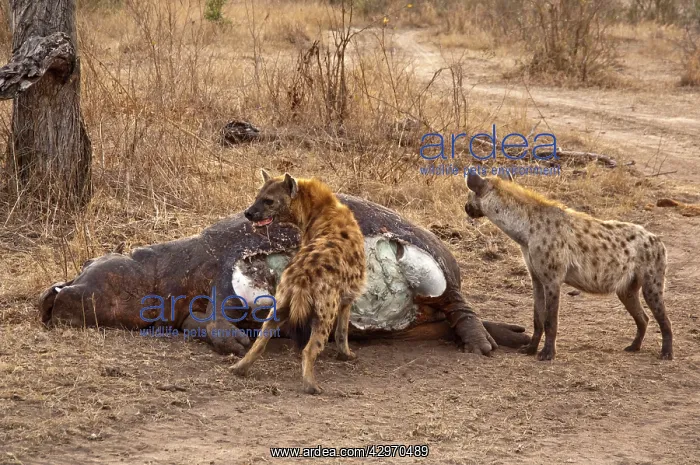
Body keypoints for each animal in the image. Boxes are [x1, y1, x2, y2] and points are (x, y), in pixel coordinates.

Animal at [39, 195, 530, 356]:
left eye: (87, 268)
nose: (52, 290)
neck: (162, 271)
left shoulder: (220, 275)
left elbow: (216, 312)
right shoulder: (194, 306)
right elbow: (200, 321)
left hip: (440, 272)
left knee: (458, 303)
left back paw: (483, 343)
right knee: (450, 314)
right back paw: (511, 335)